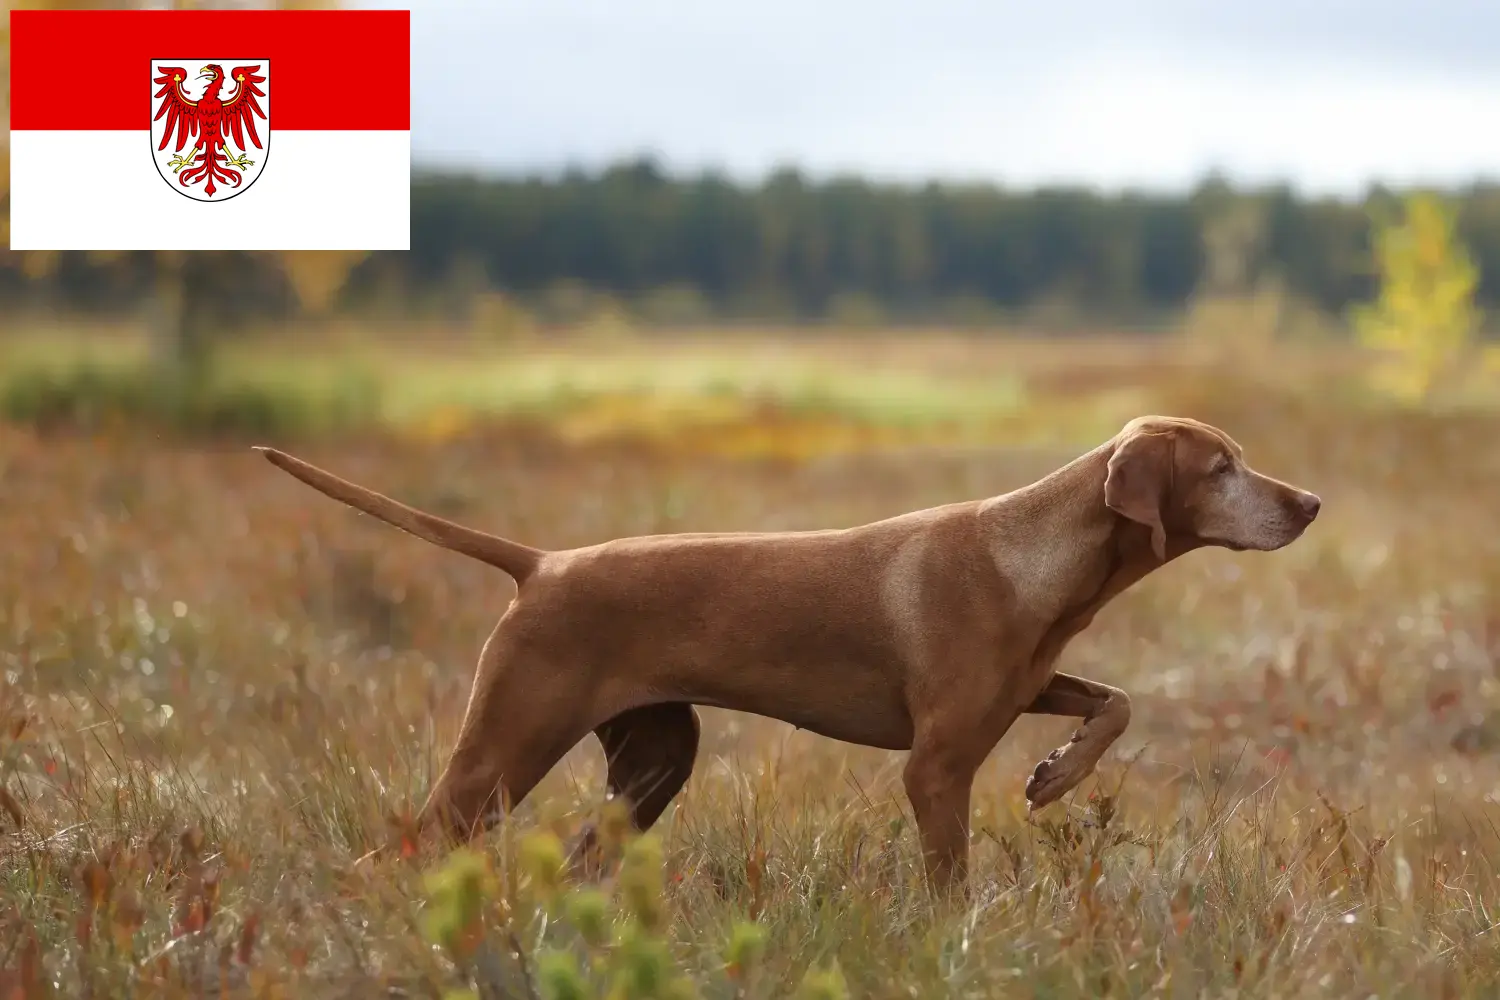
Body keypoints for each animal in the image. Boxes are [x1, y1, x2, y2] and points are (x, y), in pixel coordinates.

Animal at [255, 413, 1314, 893]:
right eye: (1221, 468)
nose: (1308, 504)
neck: (1036, 559)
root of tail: (543, 564)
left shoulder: (1025, 688)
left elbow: (1117, 701)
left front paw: (1057, 773)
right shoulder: (936, 766)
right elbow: (949, 878)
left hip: (656, 759)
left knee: (587, 855)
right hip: (504, 752)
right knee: (402, 845)